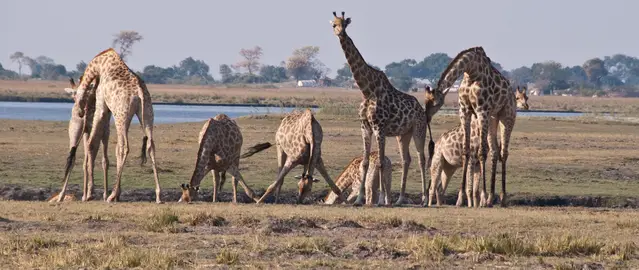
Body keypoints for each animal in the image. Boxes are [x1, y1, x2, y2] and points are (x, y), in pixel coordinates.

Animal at [64, 48, 162, 204]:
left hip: (121, 116)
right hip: (147, 113)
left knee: (125, 147)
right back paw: (158, 195)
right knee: (150, 146)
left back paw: (111, 195)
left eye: (76, 97)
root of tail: (140, 93)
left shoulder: (101, 105)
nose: (80, 112)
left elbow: (92, 143)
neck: (99, 65)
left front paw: (90, 194)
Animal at [330, 10, 440, 206]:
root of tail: (422, 111)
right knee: (406, 159)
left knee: (421, 158)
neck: (367, 91)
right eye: (334, 24)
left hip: (418, 129)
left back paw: (424, 198)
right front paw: (359, 199)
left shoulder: (379, 128)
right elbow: (366, 162)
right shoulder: (365, 127)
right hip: (402, 134)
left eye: (345, 24)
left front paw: (381, 200)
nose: (340, 33)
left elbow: (380, 162)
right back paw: (400, 199)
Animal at [438, 46, 524, 207]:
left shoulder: (481, 110)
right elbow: (466, 152)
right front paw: (461, 198)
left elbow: (482, 152)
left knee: (504, 152)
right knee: (495, 151)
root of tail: (512, 94)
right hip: (492, 118)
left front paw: (482, 196)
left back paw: (502, 198)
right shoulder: (465, 111)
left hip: (507, 115)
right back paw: (490, 199)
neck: (471, 71)